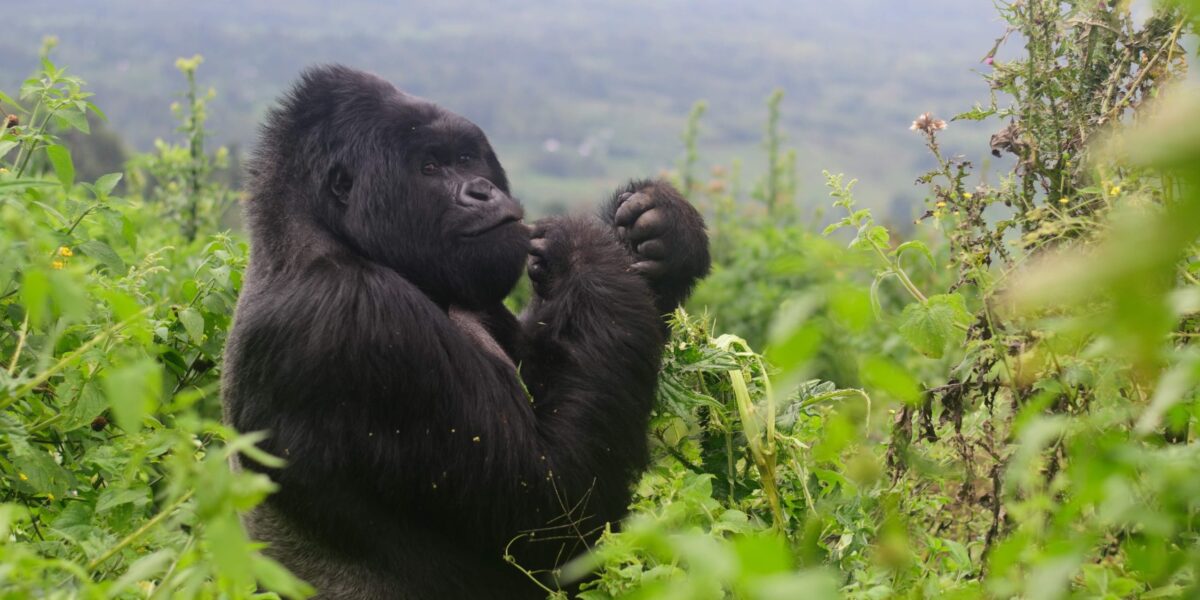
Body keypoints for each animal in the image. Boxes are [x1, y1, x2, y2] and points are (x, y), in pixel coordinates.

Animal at [223, 66, 710, 600]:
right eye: (430, 167)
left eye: (465, 159)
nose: (481, 190)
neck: (315, 231)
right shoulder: (356, 318)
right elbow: (556, 509)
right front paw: (585, 248)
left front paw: (661, 232)